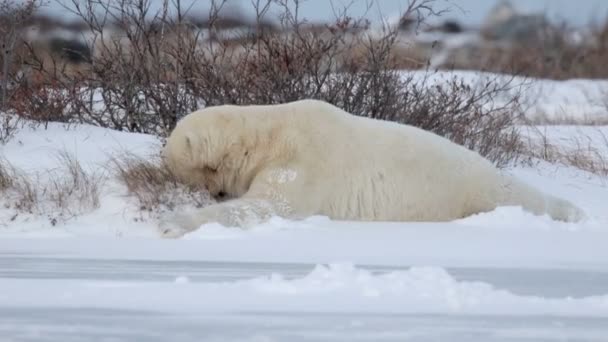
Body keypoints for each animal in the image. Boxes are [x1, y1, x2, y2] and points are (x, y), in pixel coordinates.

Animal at [158, 99, 584, 238]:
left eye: (174, 166)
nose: (164, 167)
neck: (267, 134)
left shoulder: (302, 163)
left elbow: (270, 206)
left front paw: (171, 224)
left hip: (476, 189)